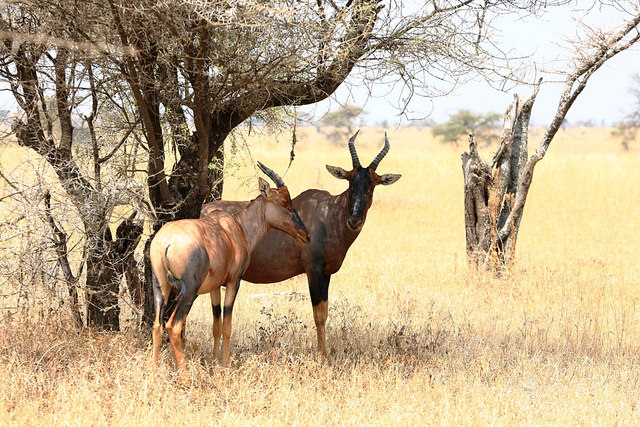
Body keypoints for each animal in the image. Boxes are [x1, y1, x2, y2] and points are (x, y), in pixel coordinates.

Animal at [150, 162, 310, 376]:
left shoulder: (215, 287)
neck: (235, 226)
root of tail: (166, 241)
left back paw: (153, 375)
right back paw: (185, 377)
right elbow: (227, 326)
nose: (306, 234)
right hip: (189, 291)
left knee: (157, 325)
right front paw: (225, 366)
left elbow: (216, 325)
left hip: (160, 286)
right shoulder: (234, 282)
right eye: (284, 202)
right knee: (173, 326)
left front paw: (214, 363)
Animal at [201, 131, 400, 358]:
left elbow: (324, 312)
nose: (354, 220)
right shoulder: (313, 270)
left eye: (373, 184)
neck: (328, 213)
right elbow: (318, 315)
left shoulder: (326, 273)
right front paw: (322, 356)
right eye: (350, 181)